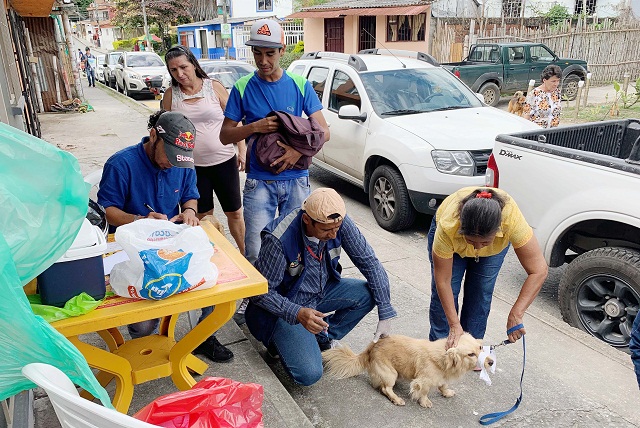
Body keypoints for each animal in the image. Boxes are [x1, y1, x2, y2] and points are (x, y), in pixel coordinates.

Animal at [322, 332, 492, 406]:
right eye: (471, 354)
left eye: (480, 347)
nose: (491, 362)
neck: (442, 358)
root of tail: (371, 347)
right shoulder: (423, 381)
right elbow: (423, 392)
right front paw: (424, 402)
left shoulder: (441, 378)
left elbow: (443, 385)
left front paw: (446, 392)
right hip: (390, 374)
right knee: (385, 389)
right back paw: (396, 399)